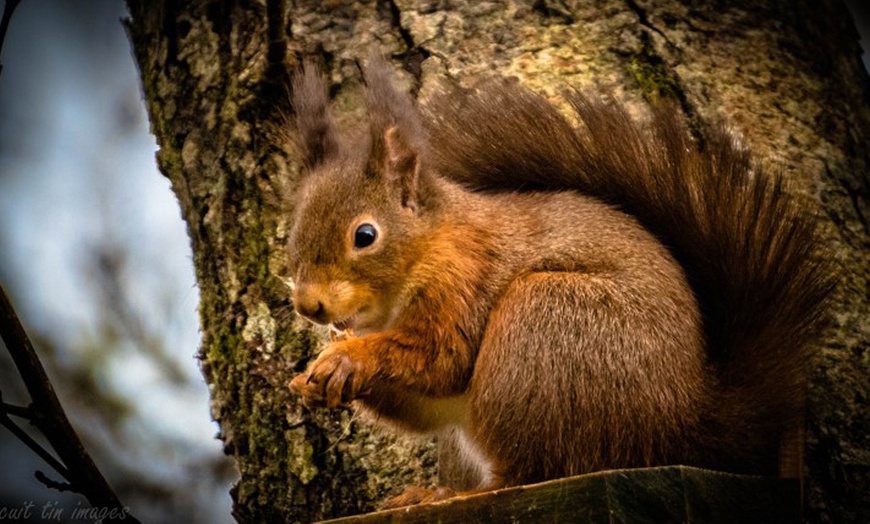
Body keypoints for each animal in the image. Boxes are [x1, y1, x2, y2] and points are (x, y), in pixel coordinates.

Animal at [284, 57, 832, 508]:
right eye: (292, 232)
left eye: (365, 235)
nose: (309, 306)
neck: (430, 247)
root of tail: (687, 422)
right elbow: (426, 407)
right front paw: (313, 377)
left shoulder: (465, 281)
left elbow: (441, 357)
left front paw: (348, 357)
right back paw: (429, 493)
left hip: (543, 325)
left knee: (531, 473)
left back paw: (455, 495)